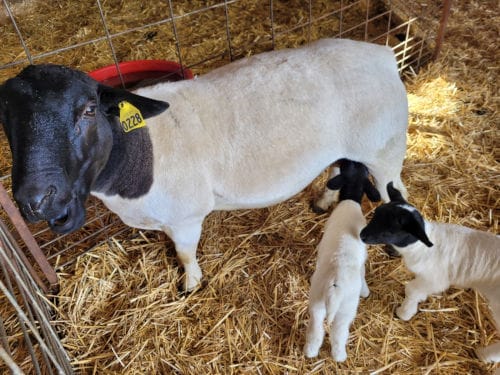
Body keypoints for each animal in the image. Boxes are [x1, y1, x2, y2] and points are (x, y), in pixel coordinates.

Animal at [0, 38, 408, 292]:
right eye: (6, 121)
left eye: (88, 110)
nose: (36, 201)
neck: (142, 152)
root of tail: (382, 53)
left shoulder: (185, 217)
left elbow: (184, 253)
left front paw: (190, 285)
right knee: (342, 167)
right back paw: (324, 201)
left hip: (385, 147)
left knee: (395, 190)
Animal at [302, 159, 380, 362]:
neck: (350, 199)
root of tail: (335, 288)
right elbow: (362, 272)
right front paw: (365, 291)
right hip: (346, 310)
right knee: (338, 333)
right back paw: (340, 356)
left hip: (316, 301)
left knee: (315, 329)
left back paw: (310, 352)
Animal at [360, 182, 500, 364]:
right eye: (376, 214)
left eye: (389, 231)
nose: (361, 235)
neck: (420, 247)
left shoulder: (435, 279)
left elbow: (412, 289)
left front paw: (404, 313)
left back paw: (484, 354)